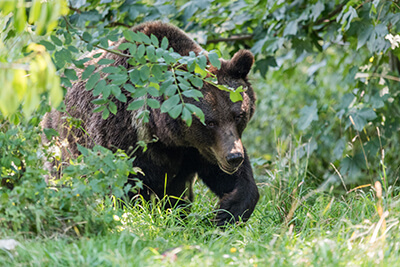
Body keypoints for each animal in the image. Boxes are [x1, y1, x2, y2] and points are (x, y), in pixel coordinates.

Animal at [44, 21, 260, 226]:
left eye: (239, 115)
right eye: (209, 122)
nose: (234, 157)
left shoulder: (200, 149)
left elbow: (235, 181)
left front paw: (226, 212)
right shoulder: (123, 138)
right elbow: (125, 186)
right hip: (63, 141)